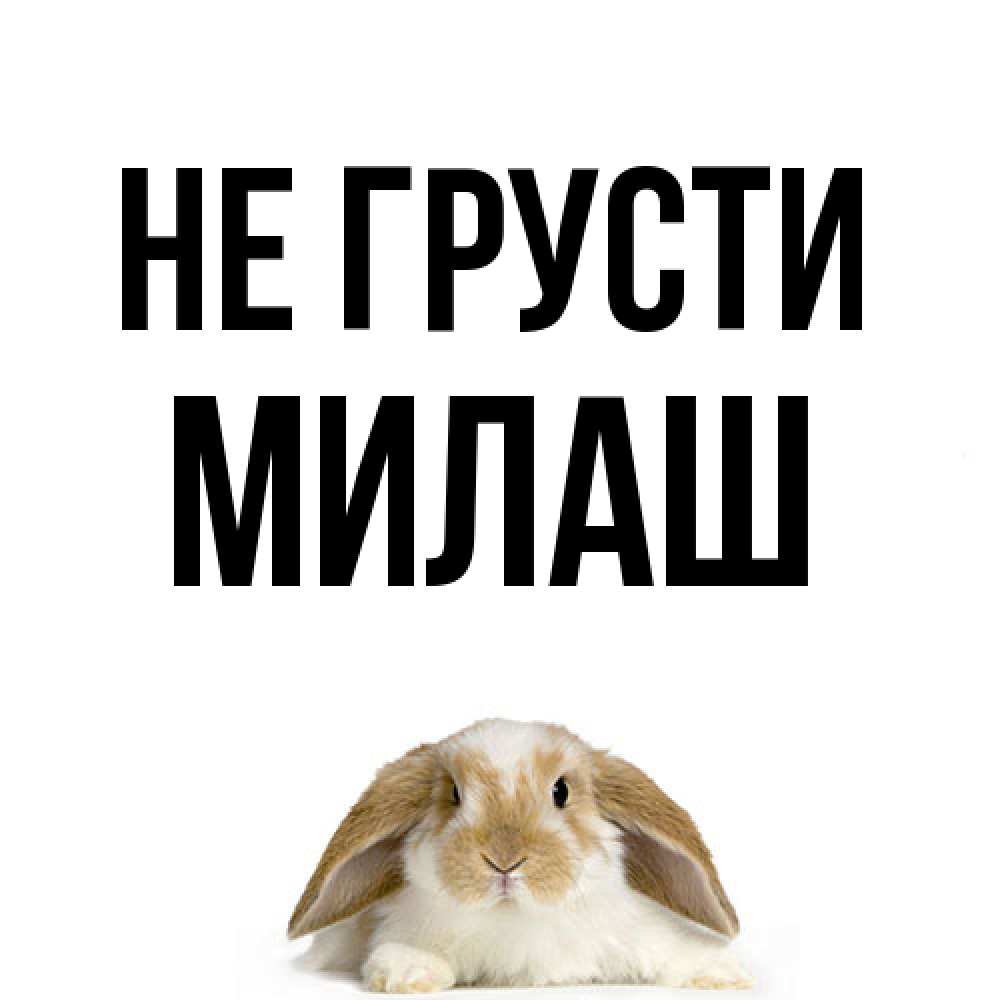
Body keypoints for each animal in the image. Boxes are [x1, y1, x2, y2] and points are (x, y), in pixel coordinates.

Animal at [288, 719, 751, 991]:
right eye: (454, 794)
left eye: (561, 791)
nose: (504, 860)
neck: (516, 918)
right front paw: (409, 972)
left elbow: (673, 950)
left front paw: (723, 973)